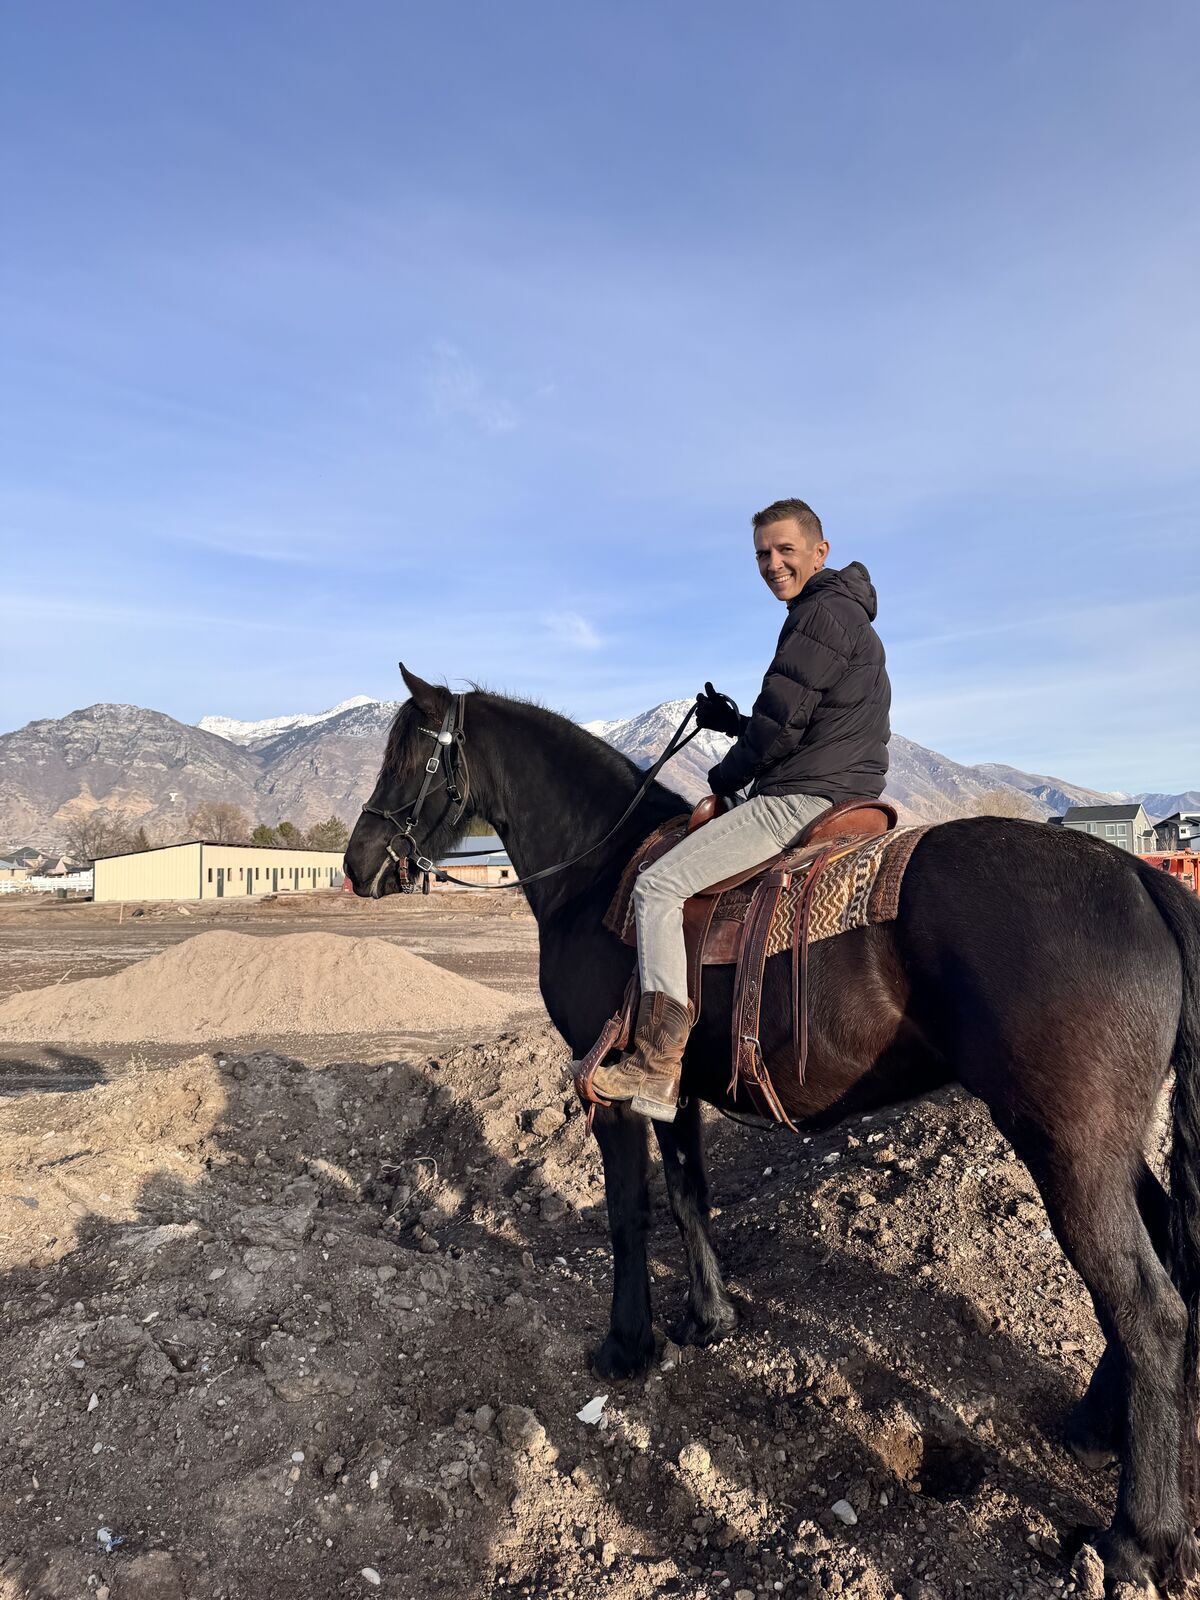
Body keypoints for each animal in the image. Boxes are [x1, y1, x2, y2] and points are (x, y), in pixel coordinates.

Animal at [344, 667, 1200, 1594]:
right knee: (1156, 1254)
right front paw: (709, 1318)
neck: (602, 877)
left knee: (1148, 1306)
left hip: (1067, 1143)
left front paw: (625, 1345)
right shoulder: (669, 1090)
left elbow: (628, 1215)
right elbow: (689, 1196)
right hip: (1106, 1145)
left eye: (413, 755)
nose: (358, 864)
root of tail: (1138, 877)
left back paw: (1137, 1536)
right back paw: (1094, 1426)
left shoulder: (607, 1091)